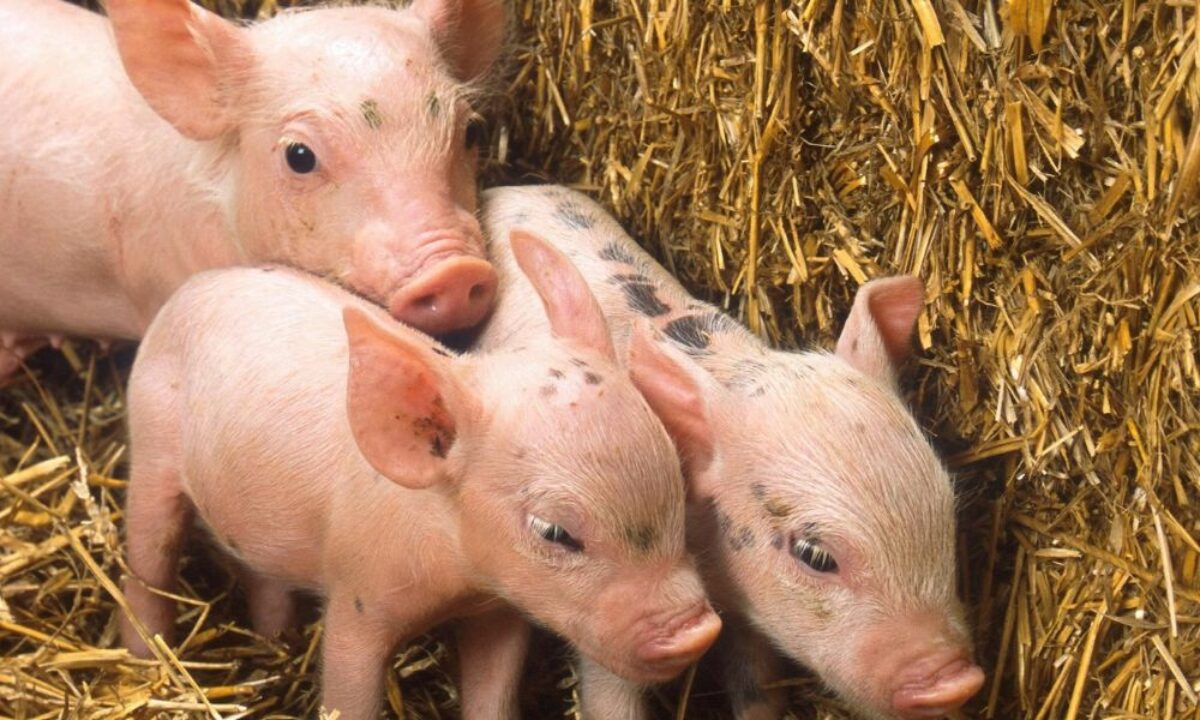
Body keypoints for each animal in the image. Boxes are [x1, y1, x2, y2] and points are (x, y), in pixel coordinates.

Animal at [118, 230, 723, 720]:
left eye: (674, 483)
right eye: (554, 531)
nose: (698, 629)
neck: (455, 578)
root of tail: (197, 285)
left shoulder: (500, 609)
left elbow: (494, 692)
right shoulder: (357, 594)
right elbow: (350, 689)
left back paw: (275, 641)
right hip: (151, 442)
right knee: (149, 556)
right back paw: (145, 655)